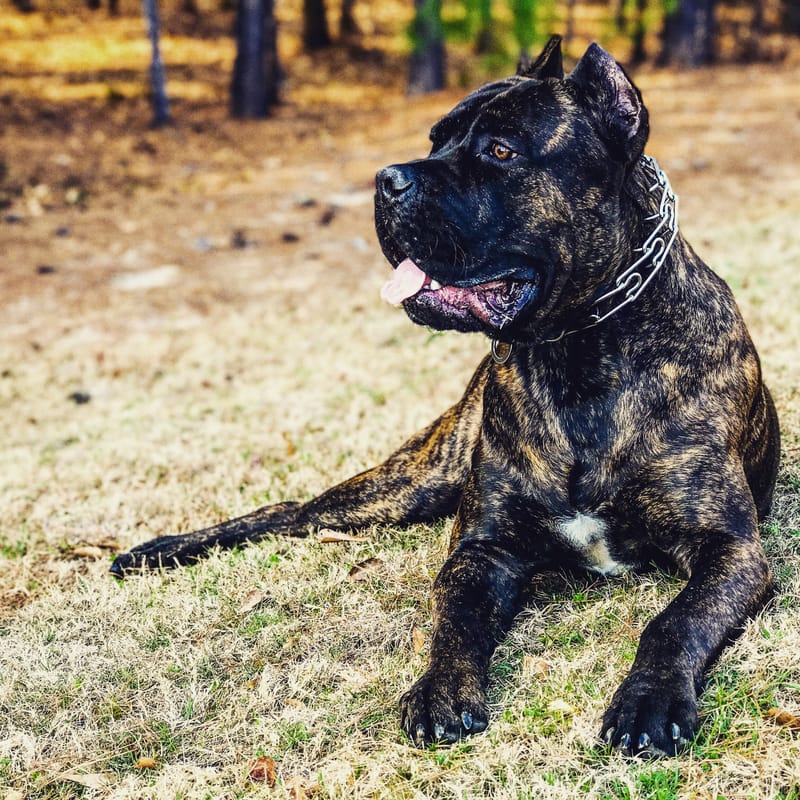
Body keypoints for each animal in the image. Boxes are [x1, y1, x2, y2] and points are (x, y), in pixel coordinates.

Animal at [109, 37, 780, 760]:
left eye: (501, 150)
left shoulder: (730, 549)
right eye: (436, 140)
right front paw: (439, 692)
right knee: (291, 511)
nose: (387, 180)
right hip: (412, 480)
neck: (578, 353)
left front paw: (648, 702)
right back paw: (157, 551)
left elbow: (674, 621)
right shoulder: (482, 549)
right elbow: (453, 619)